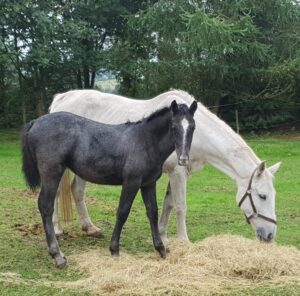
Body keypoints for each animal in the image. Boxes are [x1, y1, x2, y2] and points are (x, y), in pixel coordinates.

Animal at [22, 100, 198, 268]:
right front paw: (114, 249)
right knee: (46, 205)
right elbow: (123, 212)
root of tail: (35, 122)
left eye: (193, 127)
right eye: (174, 126)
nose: (183, 159)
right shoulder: (131, 182)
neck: (146, 140)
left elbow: (152, 212)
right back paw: (57, 255)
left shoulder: (148, 184)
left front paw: (161, 249)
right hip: (51, 172)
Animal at [49, 89, 282, 244]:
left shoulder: (179, 173)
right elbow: (180, 206)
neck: (194, 134)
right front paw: (184, 241)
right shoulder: (177, 172)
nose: (270, 235)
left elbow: (169, 204)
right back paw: (57, 230)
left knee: (77, 191)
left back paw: (90, 228)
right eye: (262, 196)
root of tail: (62, 98)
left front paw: (162, 234)